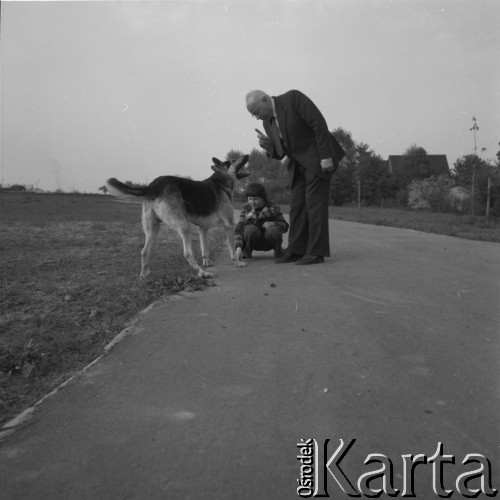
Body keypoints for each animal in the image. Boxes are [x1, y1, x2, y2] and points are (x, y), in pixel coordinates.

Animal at [108, 155, 252, 280]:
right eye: (233, 160)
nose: (247, 155)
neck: (221, 180)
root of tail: (153, 185)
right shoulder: (229, 225)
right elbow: (232, 249)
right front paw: (237, 262)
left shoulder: (202, 229)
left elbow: (204, 249)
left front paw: (207, 263)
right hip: (184, 226)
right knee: (187, 253)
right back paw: (202, 273)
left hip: (153, 228)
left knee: (144, 251)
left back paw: (144, 274)